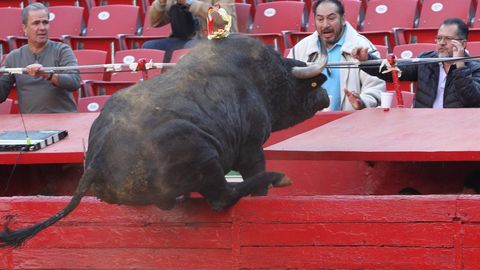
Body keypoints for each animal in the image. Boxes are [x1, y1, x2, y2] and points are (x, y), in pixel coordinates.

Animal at [0, 34, 330, 247]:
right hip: (204, 156)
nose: (326, 95)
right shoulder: (251, 150)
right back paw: (277, 177)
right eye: (312, 85)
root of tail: (96, 159)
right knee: (222, 196)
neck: (261, 79)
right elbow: (256, 182)